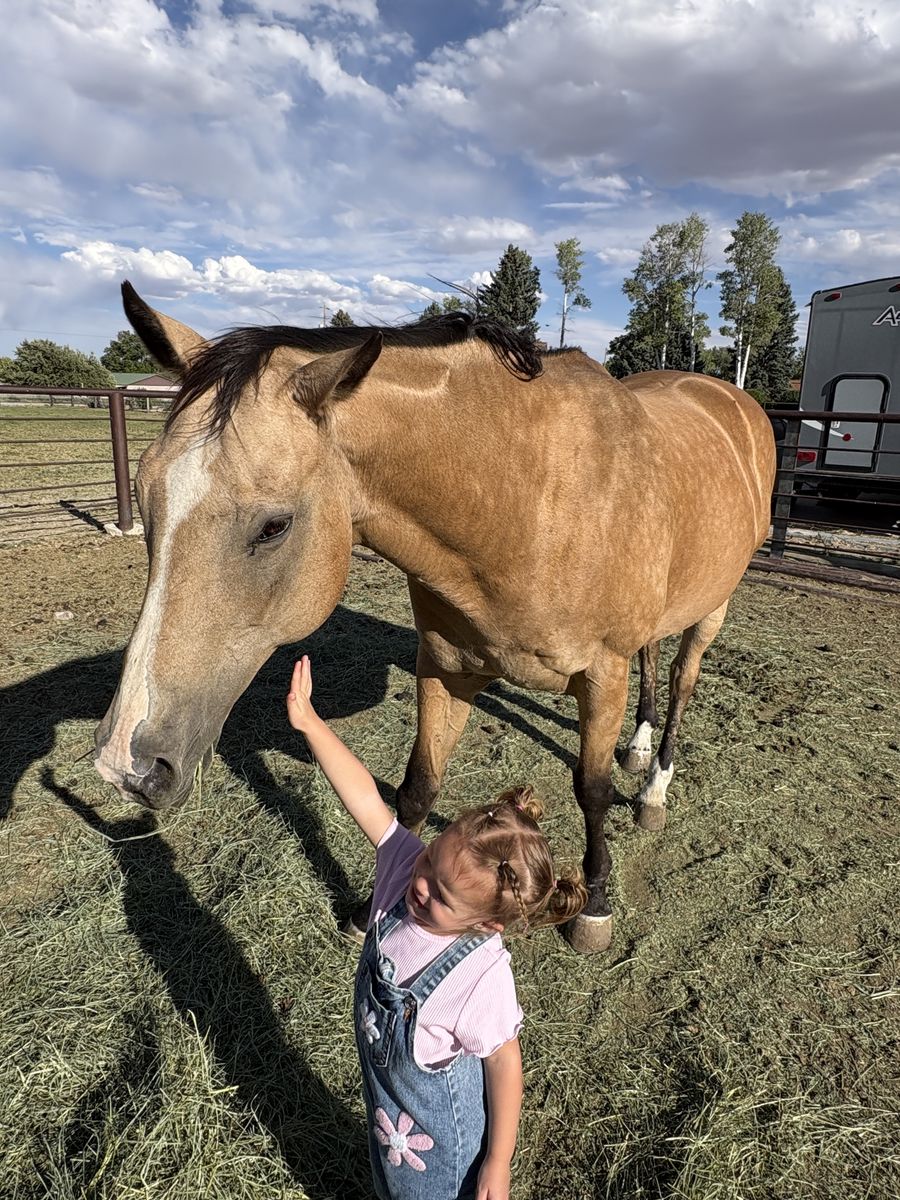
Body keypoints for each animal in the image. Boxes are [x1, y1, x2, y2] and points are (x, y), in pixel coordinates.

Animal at [94, 281, 775, 953]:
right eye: (146, 498)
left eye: (273, 526)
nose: (125, 764)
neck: (529, 503)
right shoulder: (446, 668)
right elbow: (418, 785)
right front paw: (372, 904)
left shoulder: (602, 675)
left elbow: (592, 790)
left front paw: (596, 905)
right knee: (654, 658)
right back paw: (637, 749)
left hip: (713, 607)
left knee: (682, 680)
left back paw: (654, 787)